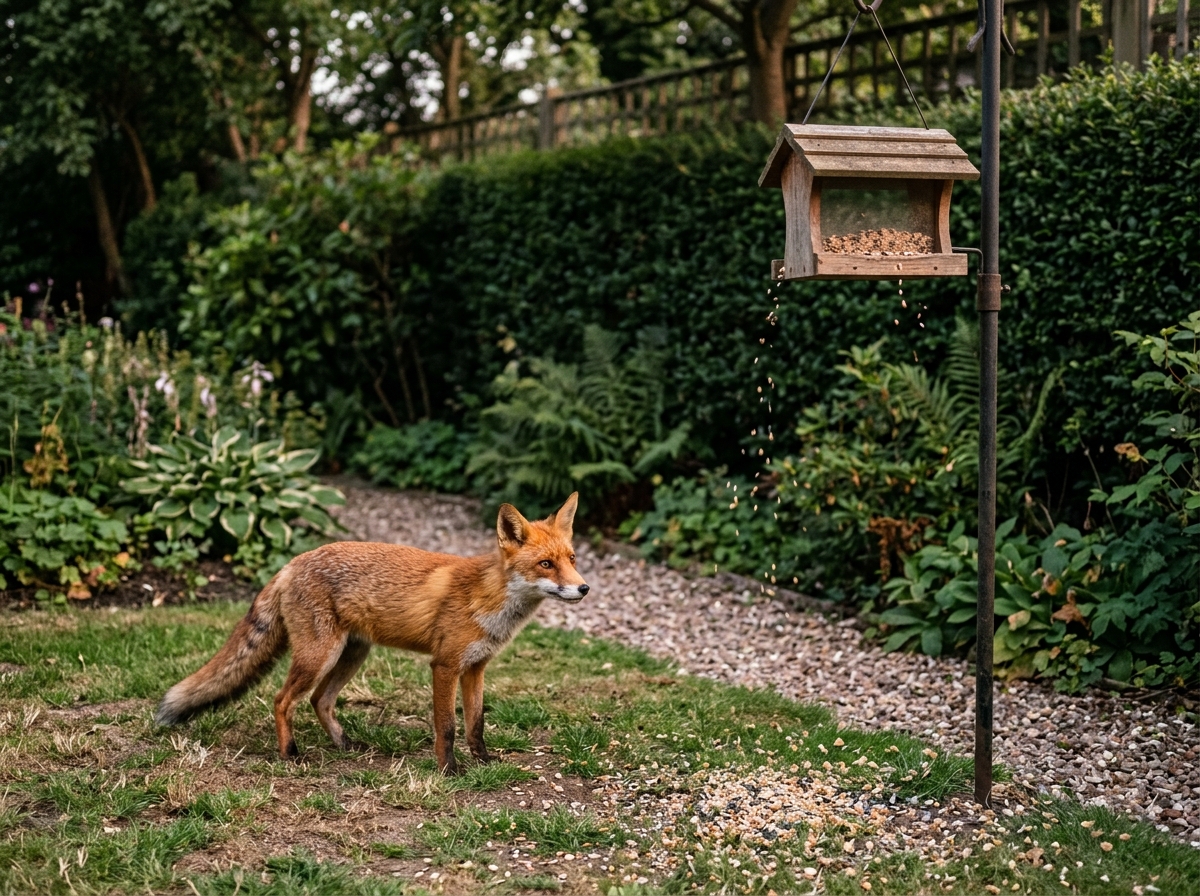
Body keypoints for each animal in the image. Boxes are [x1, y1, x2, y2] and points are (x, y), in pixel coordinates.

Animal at [155, 493, 589, 773]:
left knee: (320, 700)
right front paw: (449, 770)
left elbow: (476, 724)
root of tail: (293, 561)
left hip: (352, 655)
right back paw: (290, 755)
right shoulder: (445, 666)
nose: (583, 588)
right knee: (282, 701)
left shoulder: (476, 667)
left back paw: (344, 745)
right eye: (545, 564)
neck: (490, 600)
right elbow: (447, 727)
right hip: (319, 655)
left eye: (571, 559)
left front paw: (483, 761)